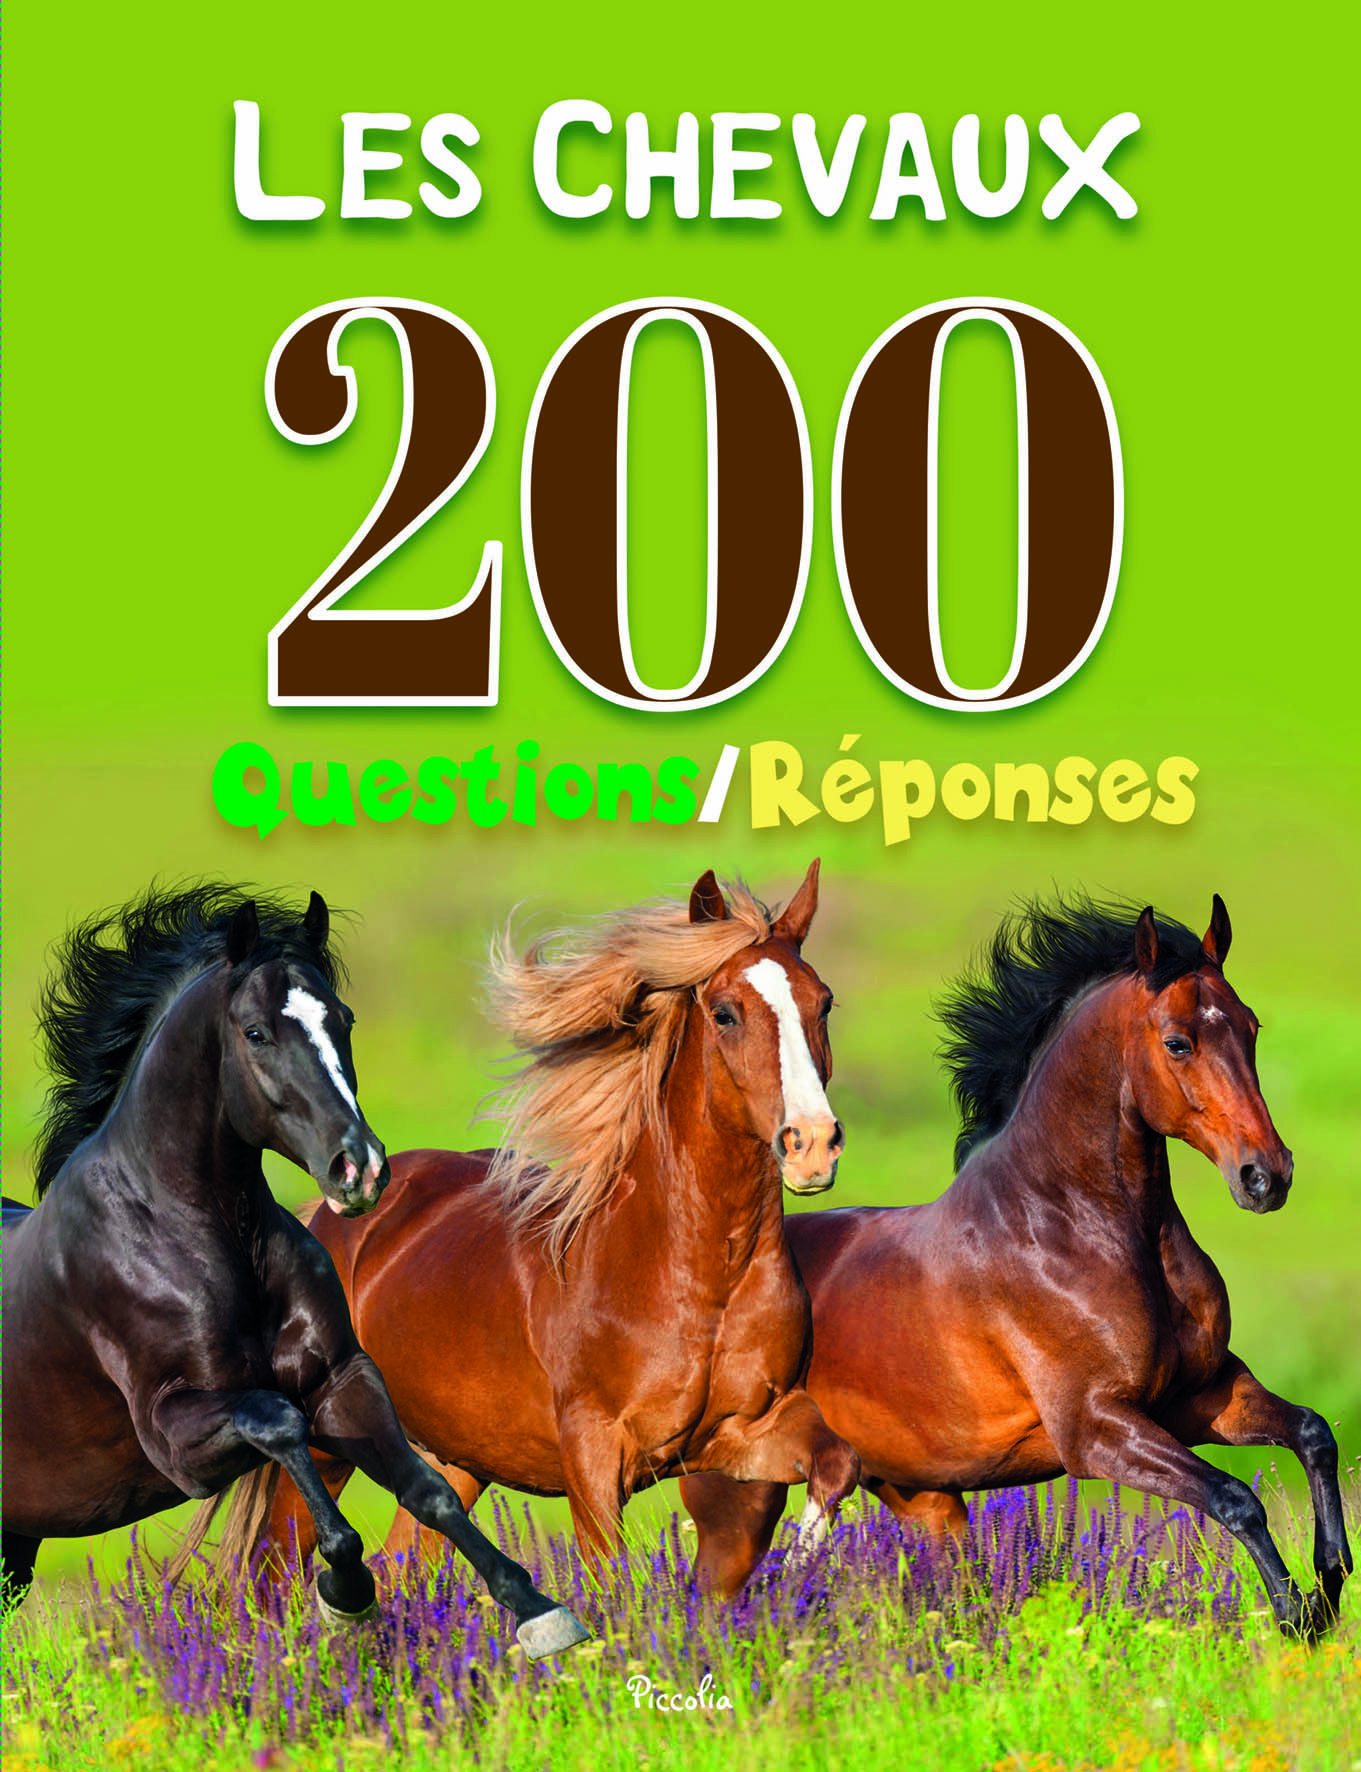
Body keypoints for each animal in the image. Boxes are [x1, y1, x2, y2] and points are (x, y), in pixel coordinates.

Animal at [1, 883, 587, 1659]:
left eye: (344, 1019)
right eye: (255, 1033)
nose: (358, 1167)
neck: (197, 1234)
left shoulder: (341, 1380)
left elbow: (425, 1489)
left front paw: (537, 1610)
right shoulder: (174, 1439)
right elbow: (280, 1423)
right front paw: (346, 1590)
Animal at [203, 862, 861, 1591]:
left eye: (823, 1003)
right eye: (724, 1013)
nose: (812, 1144)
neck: (696, 1275)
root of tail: (323, 1217)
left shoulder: (745, 1429)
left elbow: (836, 1463)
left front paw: (792, 1574)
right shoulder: (594, 1453)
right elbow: (608, 1579)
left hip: (456, 1458)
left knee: (406, 1564)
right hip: (327, 1445)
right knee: (273, 1575)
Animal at [674, 895, 1352, 1639]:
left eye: (1250, 1027)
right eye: (1178, 1042)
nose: (1266, 1176)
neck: (1071, 1229)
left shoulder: (1201, 1395)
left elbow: (1312, 1433)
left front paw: (1330, 1579)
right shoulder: (1096, 1429)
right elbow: (1235, 1497)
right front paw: (1296, 1615)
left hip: (925, 1499)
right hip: (741, 1495)